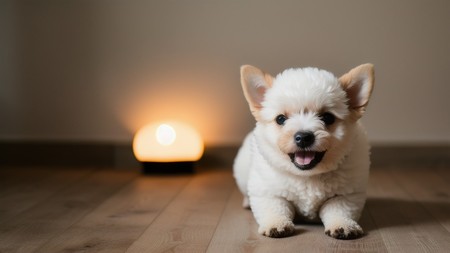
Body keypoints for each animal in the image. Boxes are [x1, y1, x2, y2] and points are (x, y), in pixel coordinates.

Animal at [234, 63, 374, 239]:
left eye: (328, 118)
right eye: (281, 119)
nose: (303, 137)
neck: (307, 175)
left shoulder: (346, 195)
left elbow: (340, 210)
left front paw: (342, 224)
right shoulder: (269, 192)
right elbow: (275, 207)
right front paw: (277, 223)